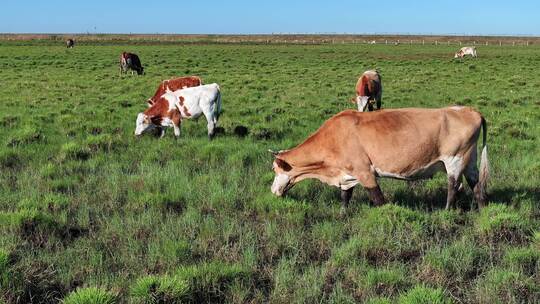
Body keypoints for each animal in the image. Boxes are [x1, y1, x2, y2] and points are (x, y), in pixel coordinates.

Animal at [270, 105, 490, 213]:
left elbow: (378, 200)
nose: (272, 190)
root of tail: (469, 110)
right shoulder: (347, 175)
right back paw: (482, 211)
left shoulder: (365, 172)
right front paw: (342, 214)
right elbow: (345, 197)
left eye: (274, 169)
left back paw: (446, 211)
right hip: (469, 161)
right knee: (477, 186)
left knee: (453, 187)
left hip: (455, 160)